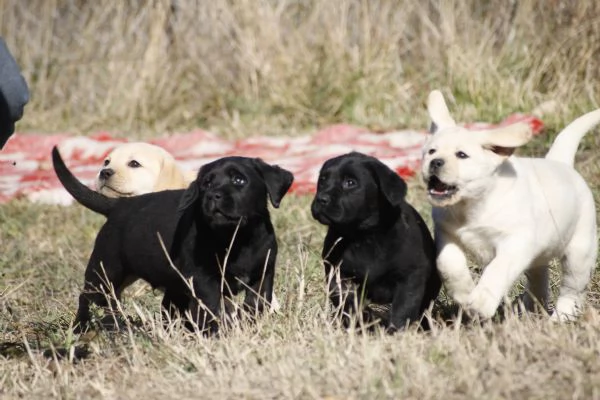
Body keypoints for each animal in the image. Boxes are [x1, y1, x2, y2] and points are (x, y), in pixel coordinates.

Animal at [52, 147, 292, 334]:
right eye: (206, 184)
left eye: (239, 180)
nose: (212, 195)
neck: (236, 237)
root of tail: (119, 205)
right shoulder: (204, 280)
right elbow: (211, 308)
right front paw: (214, 335)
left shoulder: (262, 276)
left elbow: (255, 305)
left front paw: (250, 328)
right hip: (106, 269)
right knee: (86, 297)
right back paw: (81, 328)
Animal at [312, 152, 438, 330]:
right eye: (322, 180)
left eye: (350, 182)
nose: (321, 199)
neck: (363, 236)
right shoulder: (337, 271)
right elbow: (345, 298)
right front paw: (363, 318)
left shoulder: (411, 275)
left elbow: (404, 306)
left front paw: (395, 330)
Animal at [422, 90, 600, 322]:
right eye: (431, 151)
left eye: (461, 155)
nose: (435, 162)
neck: (472, 205)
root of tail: (561, 162)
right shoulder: (446, 233)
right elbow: (449, 265)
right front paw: (464, 294)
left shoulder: (516, 242)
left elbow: (497, 269)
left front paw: (480, 304)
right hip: (540, 257)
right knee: (539, 279)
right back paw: (531, 310)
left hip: (580, 251)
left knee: (571, 288)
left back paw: (561, 317)